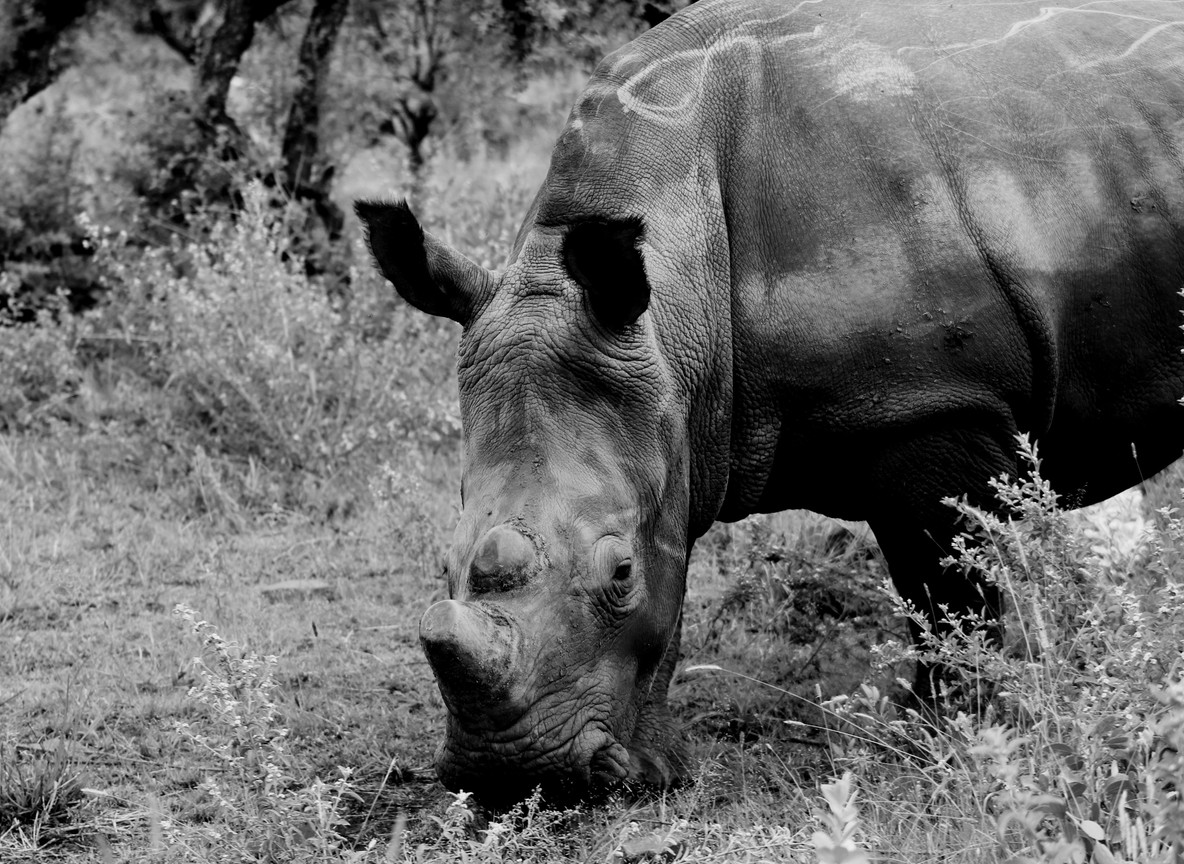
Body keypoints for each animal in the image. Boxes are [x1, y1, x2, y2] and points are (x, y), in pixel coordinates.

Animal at [357, 0, 1184, 803]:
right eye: (443, 560)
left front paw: (949, 746)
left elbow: (946, 595)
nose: (514, 774)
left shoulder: (934, 405)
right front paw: (661, 775)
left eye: (620, 572)